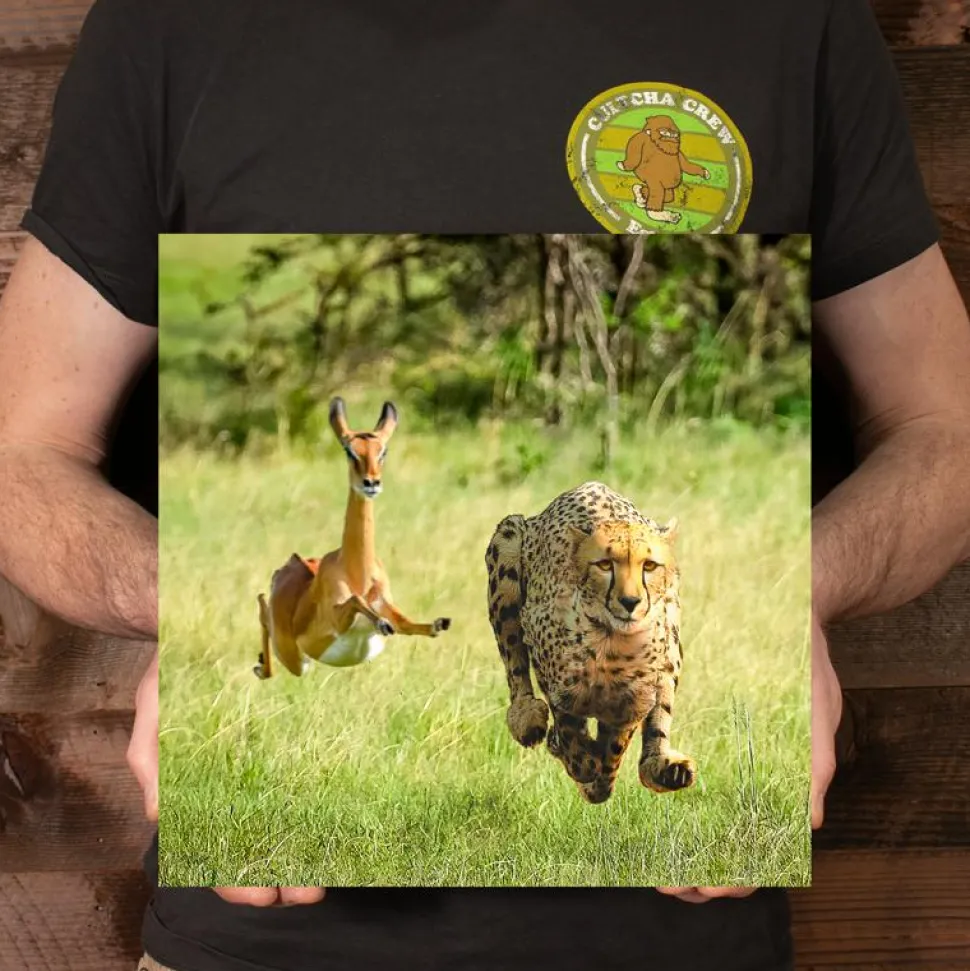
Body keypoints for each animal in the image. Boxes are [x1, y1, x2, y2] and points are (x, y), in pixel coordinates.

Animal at [254, 397, 451, 679]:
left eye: (383, 451)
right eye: (350, 451)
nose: (371, 483)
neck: (358, 574)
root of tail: (288, 565)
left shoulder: (389, 605)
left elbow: (410, 623)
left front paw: (439, 623)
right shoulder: (338, 618)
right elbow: (358, 602)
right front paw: (382, 623)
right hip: (295, 659)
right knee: (262, 606)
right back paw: (260, 666)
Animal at [485, 481, 696, 804]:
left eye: (649, 566)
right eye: (605, 564)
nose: (630, 602)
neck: (612, 643)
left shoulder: (633, 700)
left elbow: (615, 744)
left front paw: (598, 780)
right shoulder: (554, 673)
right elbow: (568, 724)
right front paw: (580, 762)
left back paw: (664, 770)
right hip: (508, 541)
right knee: (514, 663)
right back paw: (527, 720)